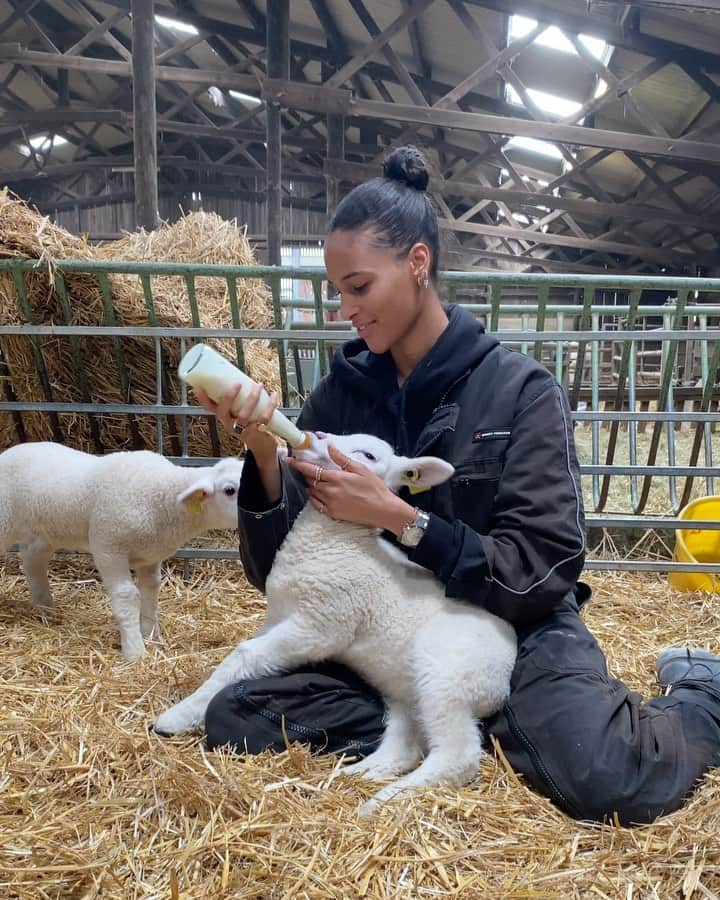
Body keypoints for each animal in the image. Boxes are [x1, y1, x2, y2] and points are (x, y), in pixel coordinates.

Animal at [0, 442, 245, 660]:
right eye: (230, 490)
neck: (162, 495)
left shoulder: (149, 555)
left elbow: (150, 589)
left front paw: (151, 635)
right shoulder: (108, 547)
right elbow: (127, 596)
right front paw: (134, 651)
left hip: (43, 531)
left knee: (33, 561)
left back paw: (43, 606)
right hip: (6, 518)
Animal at [155, 432, 516, 820]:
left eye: (368, 455)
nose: (312, 437)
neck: (337, 541)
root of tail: (507, 663)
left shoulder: (322, 625)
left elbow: (244, 654)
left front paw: (175, 717)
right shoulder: (278, 617)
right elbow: (245, 655)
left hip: (449, 675)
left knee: (458, 755)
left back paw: (382, 802)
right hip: (406, 691)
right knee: (405, 745)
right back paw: (355, 776)